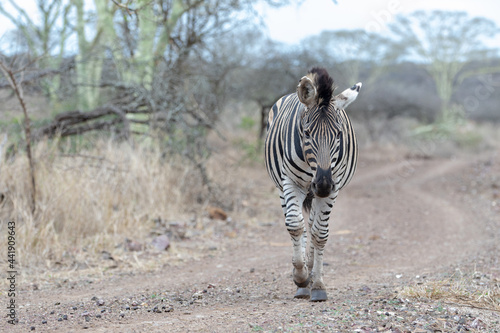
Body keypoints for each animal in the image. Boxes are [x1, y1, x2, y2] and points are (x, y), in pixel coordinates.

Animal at [264, 67, 362, 300]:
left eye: (339, 134)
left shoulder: (333, 188)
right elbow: (294, 225)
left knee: (312, 224)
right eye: (307, 133)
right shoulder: (291, 182)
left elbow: (320, 233)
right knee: (298, 222)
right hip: (285, 187)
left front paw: (317, 284)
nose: (323, 184)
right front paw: (300, 277)